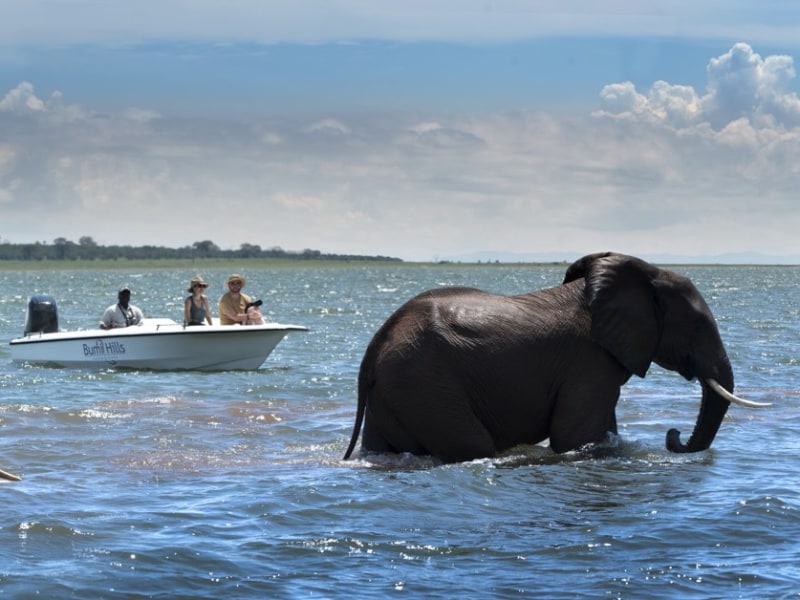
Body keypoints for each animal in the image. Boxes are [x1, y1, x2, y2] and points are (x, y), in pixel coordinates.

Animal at [343, 251, 769, 464]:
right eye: (697, 325)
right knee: (473, 446)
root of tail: (374, 348)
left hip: (397, 391)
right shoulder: (589, 361)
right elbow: (573, 438)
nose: (673, 436)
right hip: (425, 385)